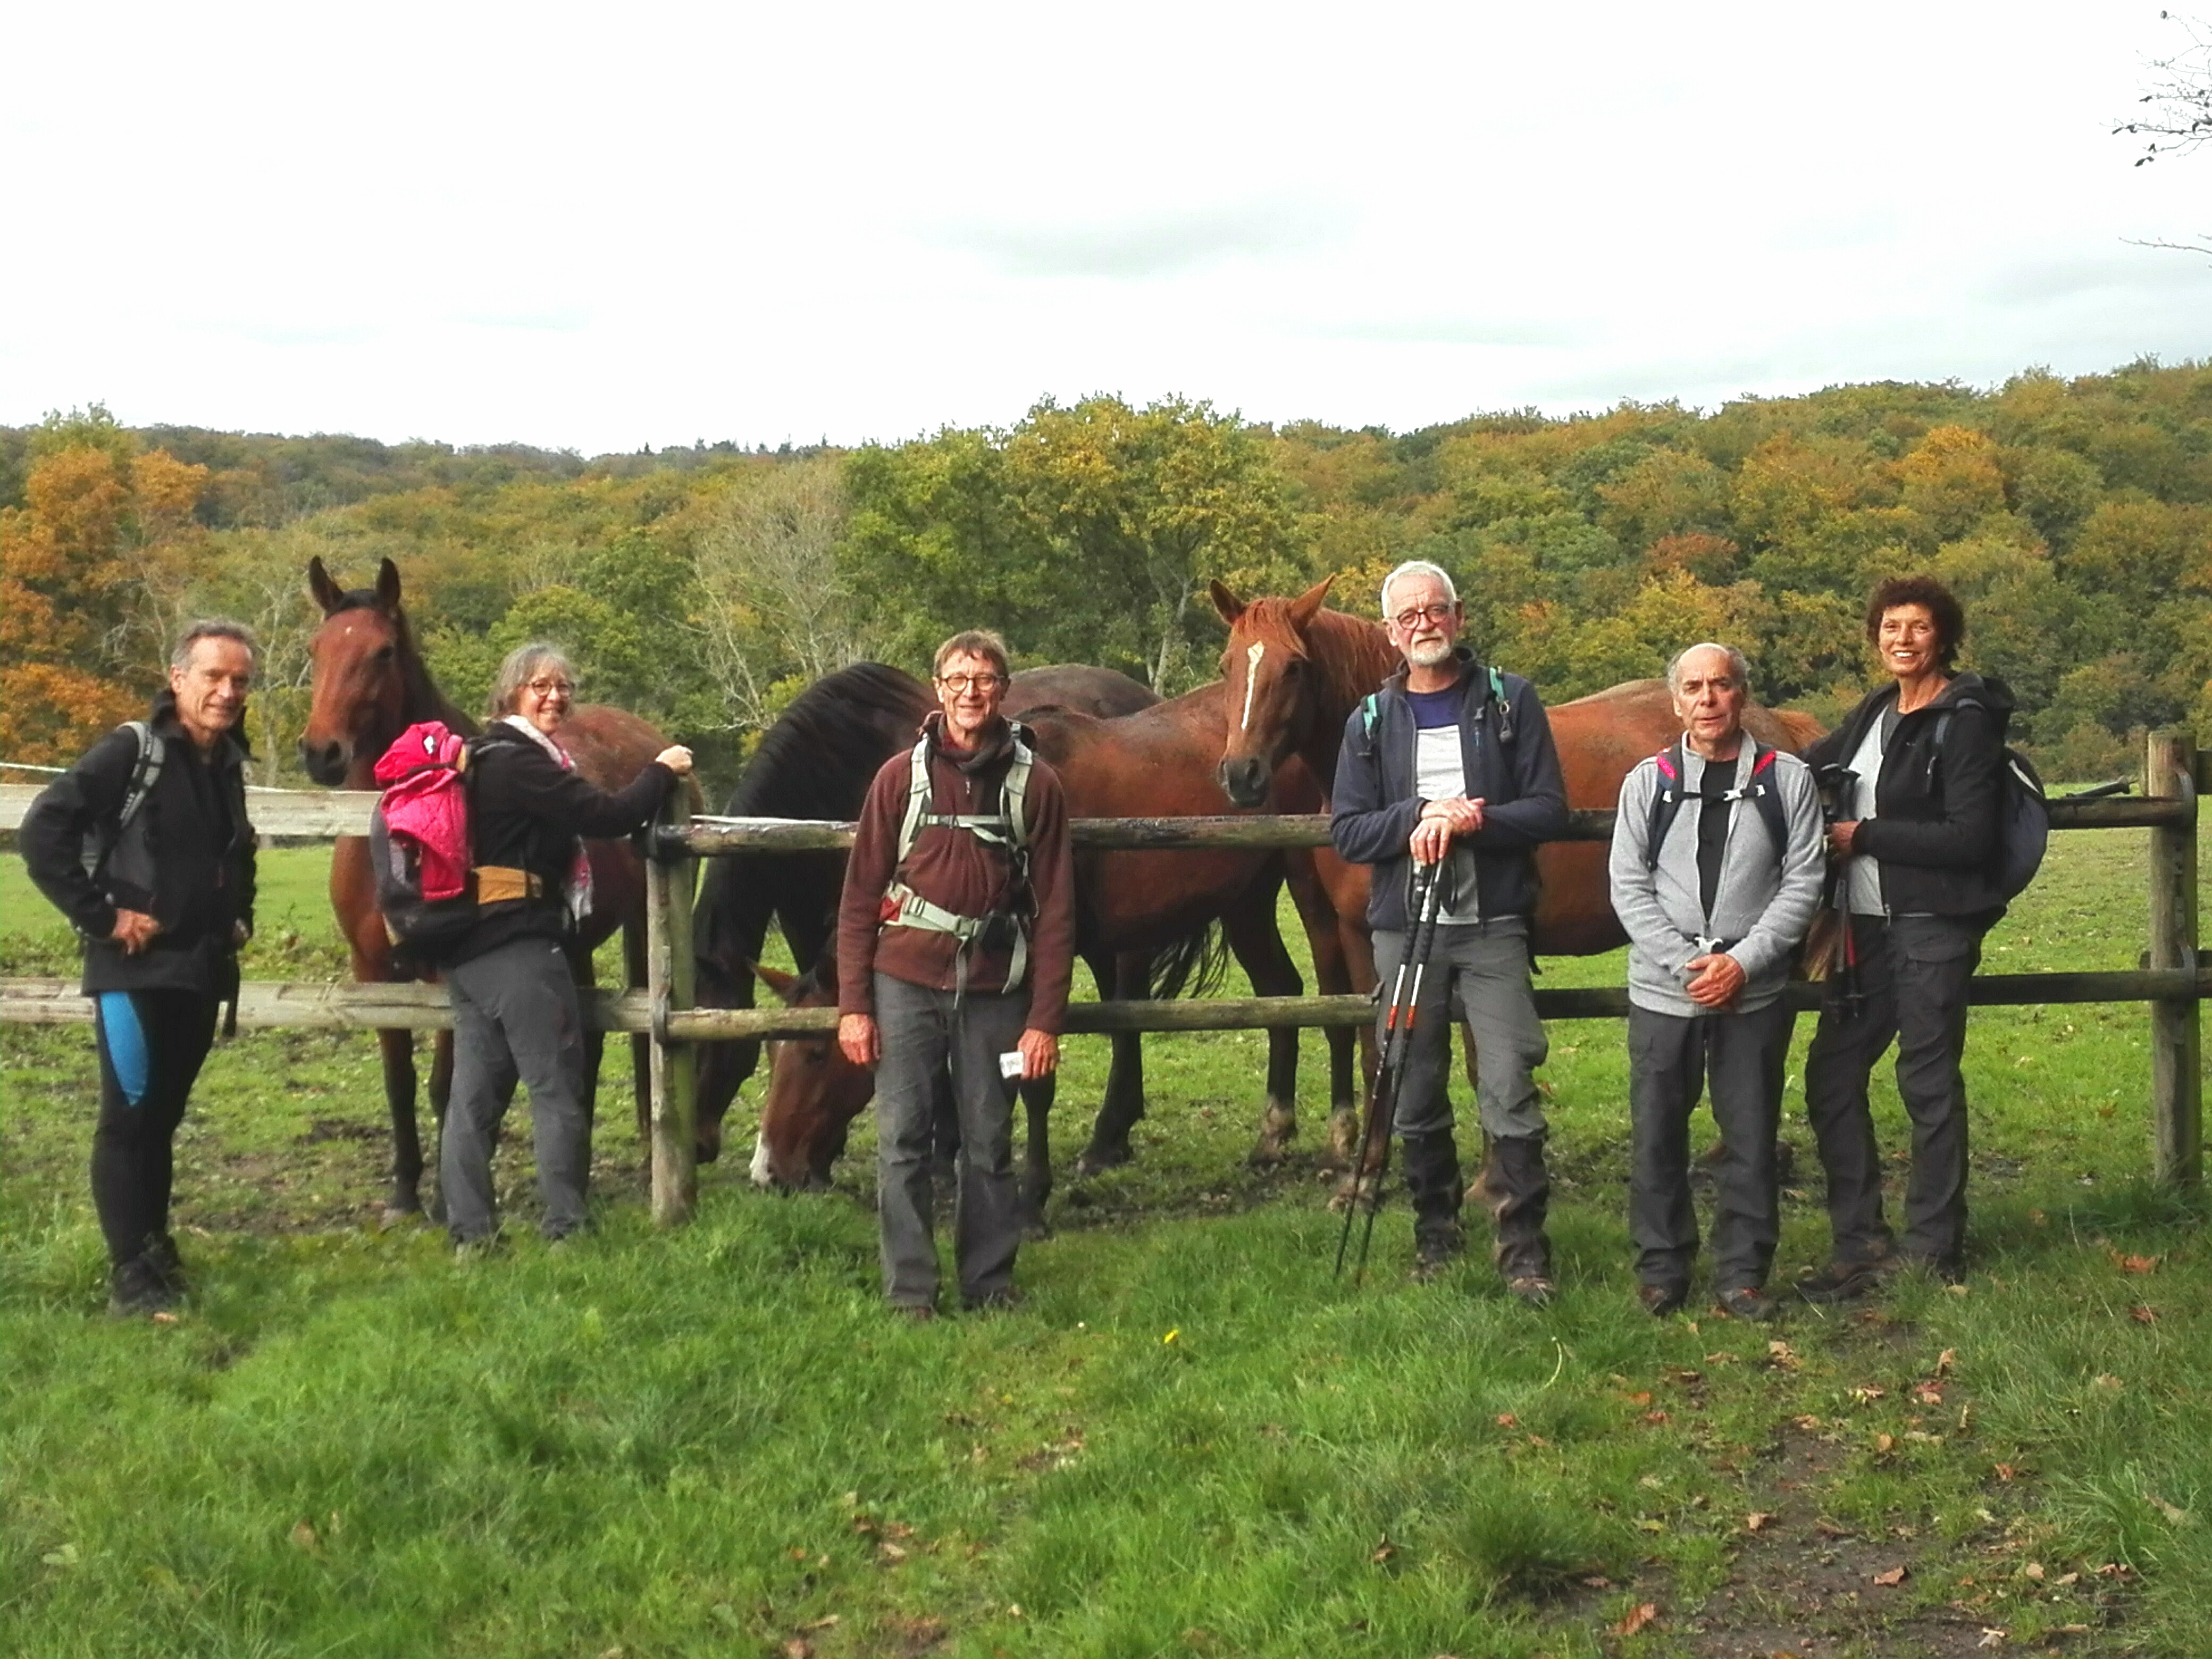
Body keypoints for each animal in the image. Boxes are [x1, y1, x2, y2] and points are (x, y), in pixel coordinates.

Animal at [300, 559, 681, 1221]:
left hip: (639, 926)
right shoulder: (372, 972)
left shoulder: (446, 975)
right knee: (588, 1041)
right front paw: (403, 1193)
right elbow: (398, 1083)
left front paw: (443, 1198)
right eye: (316, 649)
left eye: (382, 651)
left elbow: (444, 1088)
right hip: (576, 944)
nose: (322, 752)